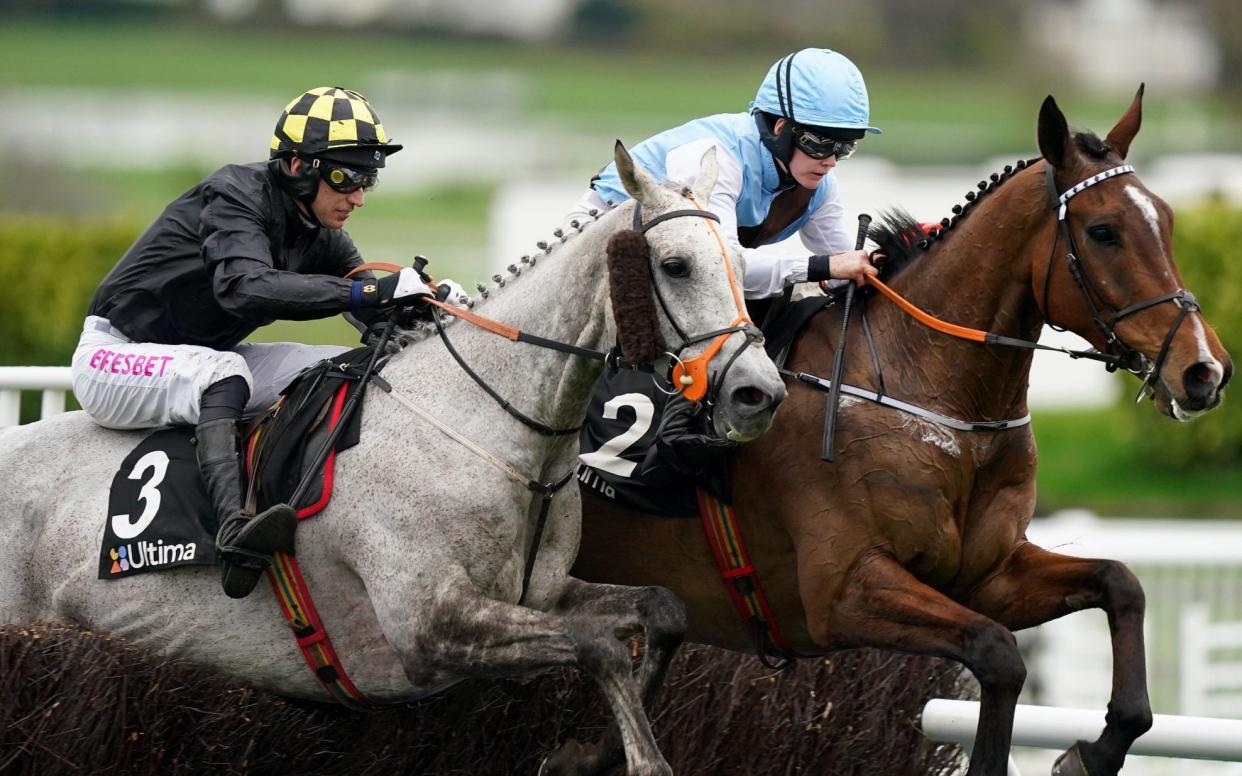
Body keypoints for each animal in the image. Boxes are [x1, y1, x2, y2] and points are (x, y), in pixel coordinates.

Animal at [0, 144, 784, 774]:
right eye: (675, 265)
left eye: (740, 259)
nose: (759, 393)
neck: (482, 426)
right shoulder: (428, 624)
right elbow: (597, 646)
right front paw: (626, 757)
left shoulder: (539, 594)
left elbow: (662, 611)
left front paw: (584, 753)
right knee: (221, 379)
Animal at [571, 86, 1232, 774]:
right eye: (1104, 232)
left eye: (1168, 221)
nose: (1205, 371)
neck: (937, 400)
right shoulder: (841, 593)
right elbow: (999, 655)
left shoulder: (987, 576)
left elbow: (1121, 584)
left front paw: (1093, 750)